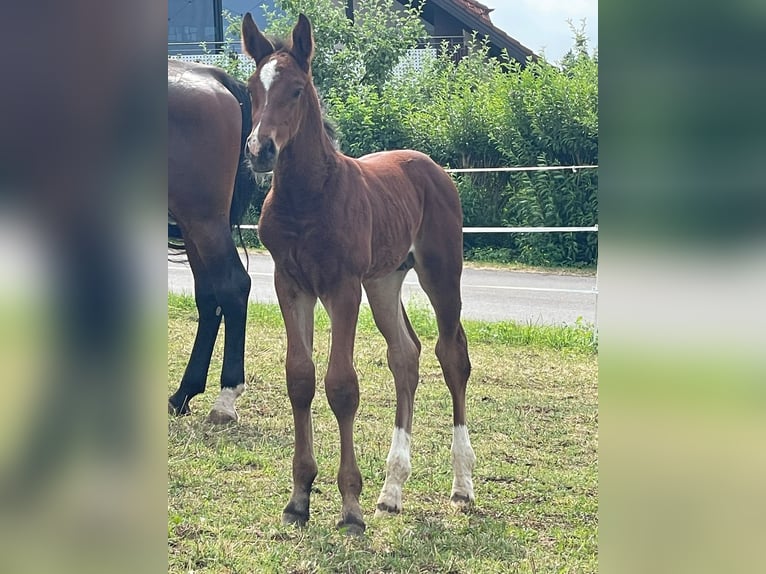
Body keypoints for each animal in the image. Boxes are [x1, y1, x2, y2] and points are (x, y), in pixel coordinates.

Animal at [240, 13, 476, 534]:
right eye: (251, 88)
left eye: (296, 90)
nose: (260, 150)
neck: (307, 198)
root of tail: (431, 165)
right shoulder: (291, 285)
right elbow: (300, 378)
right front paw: (299, 498)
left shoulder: (342, 287)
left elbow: (342, 386)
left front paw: (350, 506)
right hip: (384, 280)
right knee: (405, 355)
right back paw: (392, 490)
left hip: (440, 271)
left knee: (452, 354)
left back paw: (462, 484)